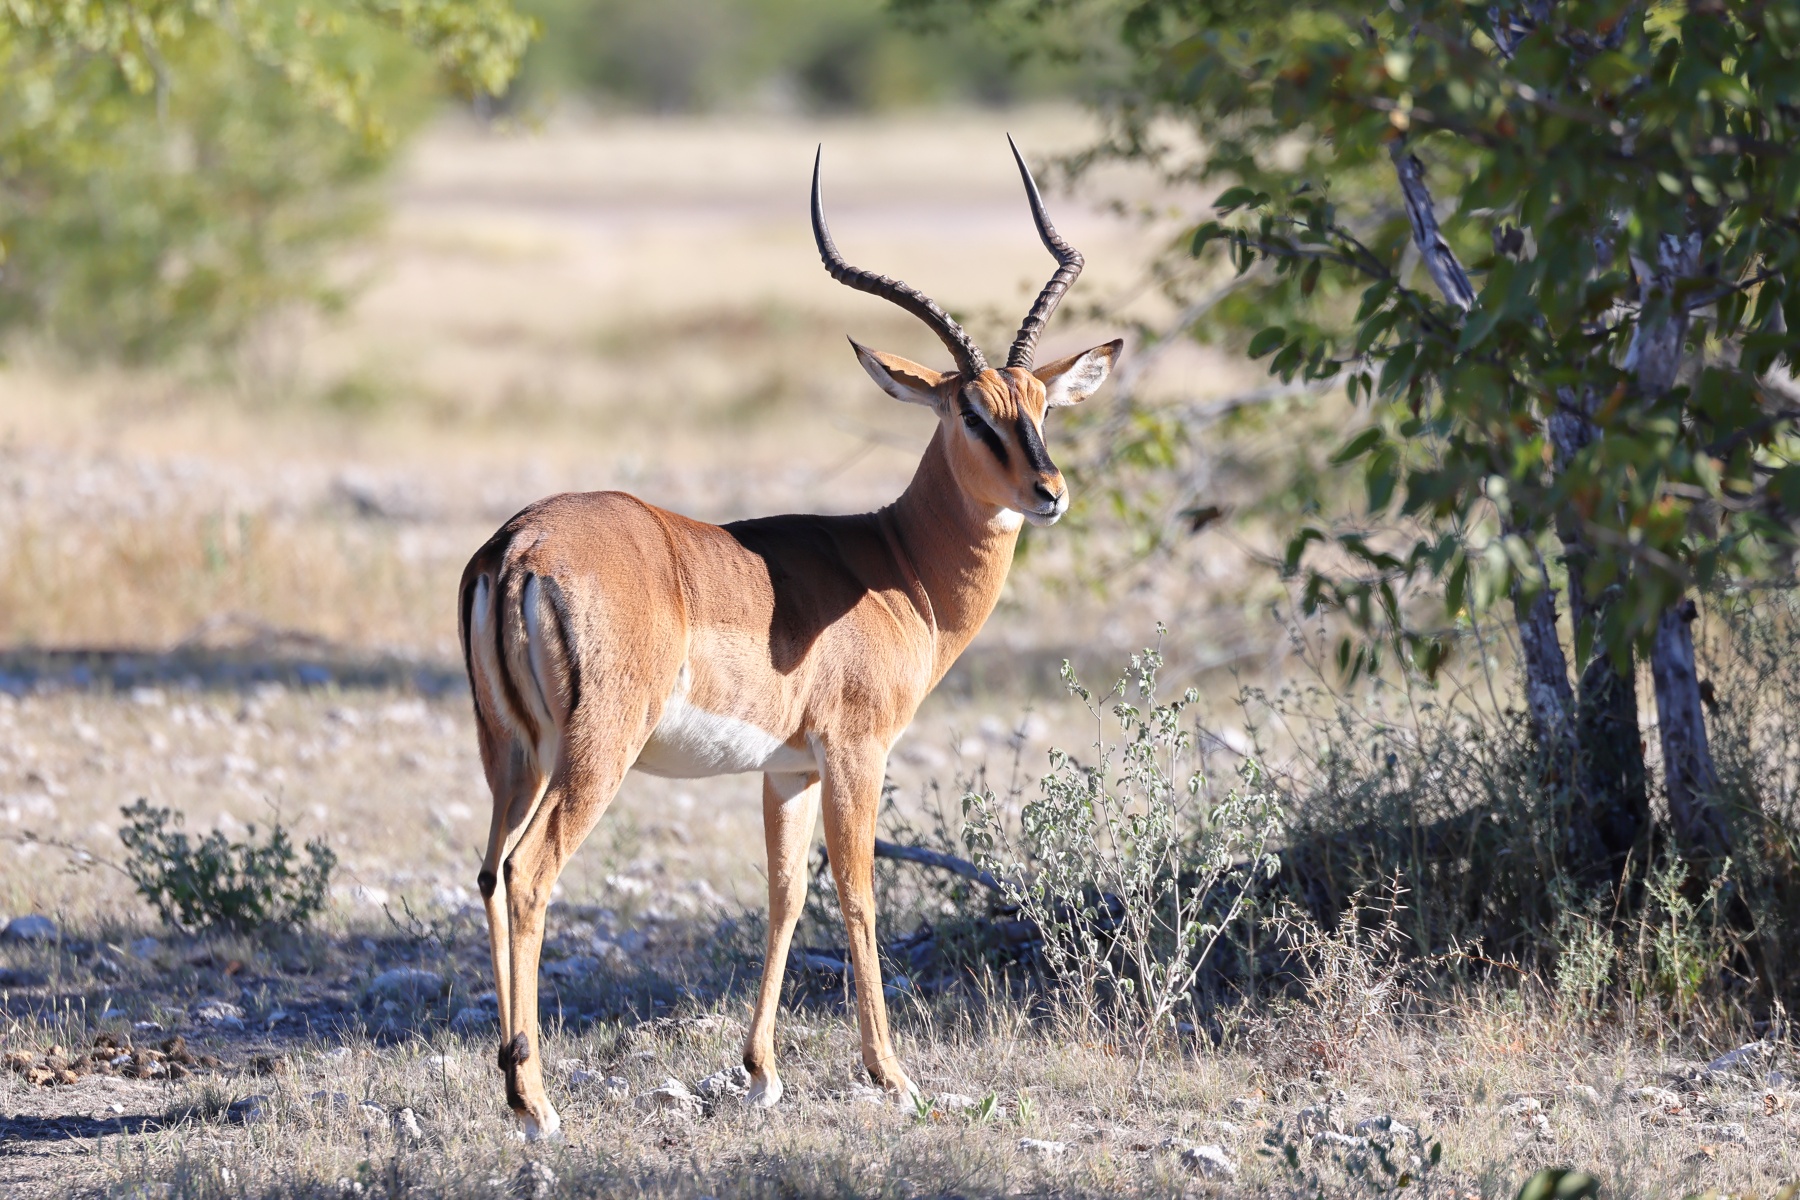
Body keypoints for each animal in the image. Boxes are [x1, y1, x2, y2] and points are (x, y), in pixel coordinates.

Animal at [458, 137, 1120, 1139]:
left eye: (1043, 404)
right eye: (971, 412)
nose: (1049, 491)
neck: (897, 566)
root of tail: (519, 543)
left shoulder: (788, 767)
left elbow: (783, 894)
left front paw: (762, 1072)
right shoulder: (856, 751)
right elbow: (858, 894)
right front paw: (893, 1076)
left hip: (513, 754)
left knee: (492, 873)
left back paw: (512, 1081)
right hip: (594, 753)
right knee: (532, 875)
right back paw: (536, 1104)